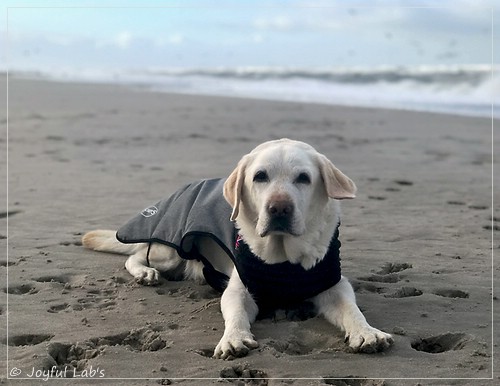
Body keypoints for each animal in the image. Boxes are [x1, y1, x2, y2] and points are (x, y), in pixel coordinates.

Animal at [83, 138, 394, 358]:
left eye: (304, 178)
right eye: (260, 176)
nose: (279, 208)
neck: (283, 259)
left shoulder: (333, 285)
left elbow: (352, 310)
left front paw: (367, 332)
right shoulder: (239, 288)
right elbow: (234, 314)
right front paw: (232, 338)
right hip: (170, 253)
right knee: (136, 255)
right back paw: (145, 273)